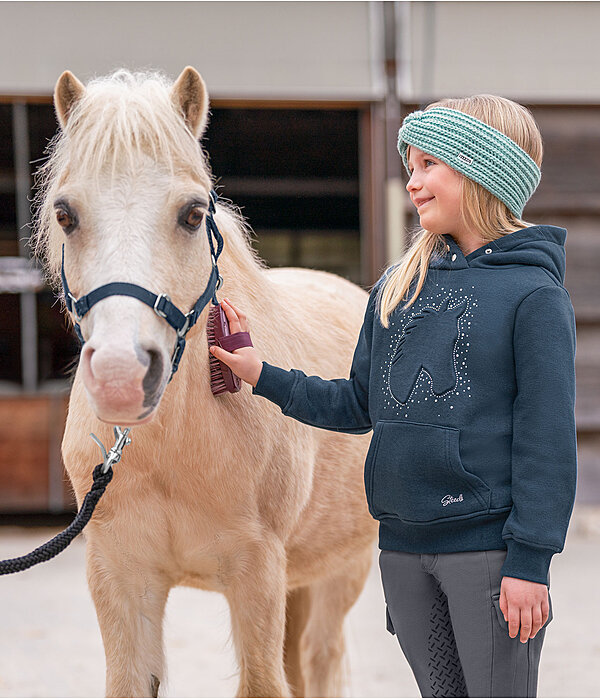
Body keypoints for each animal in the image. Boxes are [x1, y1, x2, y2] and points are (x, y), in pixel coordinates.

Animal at [32, 67, 378, 700]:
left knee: (320, 659)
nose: (121, 375)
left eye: (193, 214)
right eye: (66, 214)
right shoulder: (120, 576)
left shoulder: (257, 574)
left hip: (343, 570)